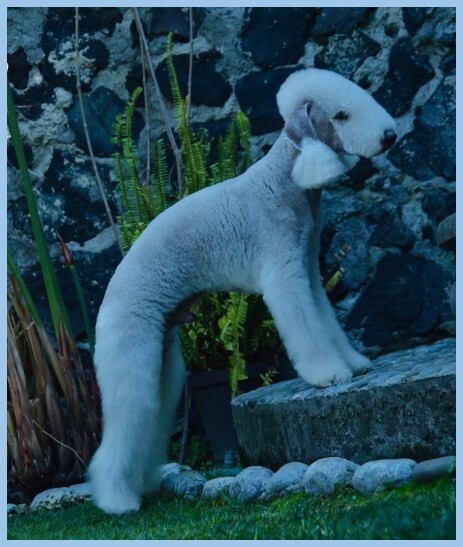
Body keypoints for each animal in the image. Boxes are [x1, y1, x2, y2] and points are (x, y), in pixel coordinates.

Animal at [89, 67, 396, 512]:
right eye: (340, 115)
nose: (389, 136)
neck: (284, 180)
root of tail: (110, 294)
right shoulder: (285, 275)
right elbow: (308, 332)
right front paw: (328, 375)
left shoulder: (308, 271)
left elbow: (326, 322)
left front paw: (354, 364)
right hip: (130, 349)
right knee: (124, 426)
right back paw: (117, 500)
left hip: (162, 356)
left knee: (151, 418)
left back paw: (142, 483)